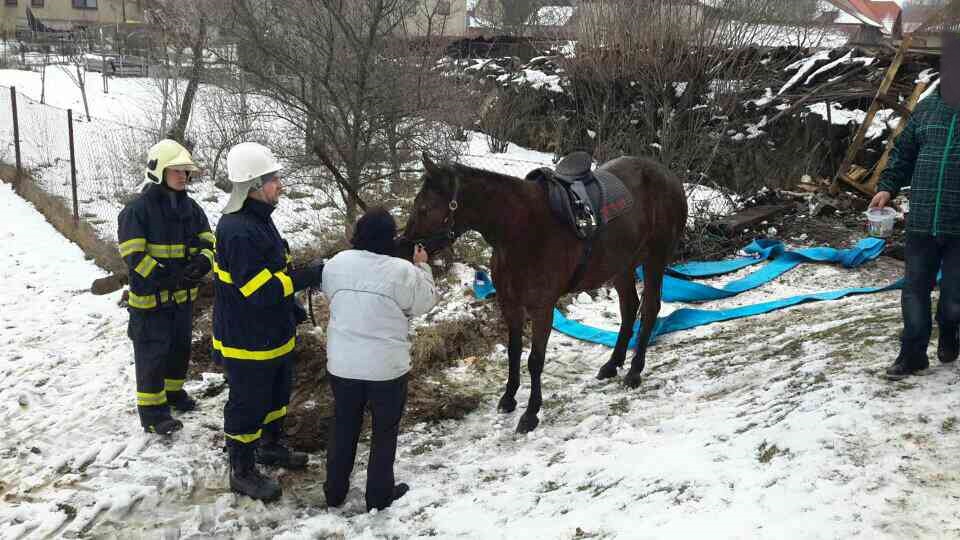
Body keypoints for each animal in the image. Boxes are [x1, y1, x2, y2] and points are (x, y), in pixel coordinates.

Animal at [404, 154, 688, 432]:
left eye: (424, 208)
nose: (404, 246)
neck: (519, 229)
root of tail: (669, 176)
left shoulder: (542, 308)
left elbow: (535, 360)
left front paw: (530, 414)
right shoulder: (510, 304)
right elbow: (514, 351)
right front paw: (508, 399)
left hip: (654, 261)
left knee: (649, 309)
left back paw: (634, 372)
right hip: (622, 266)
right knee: (629, 308)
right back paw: (612, 365)